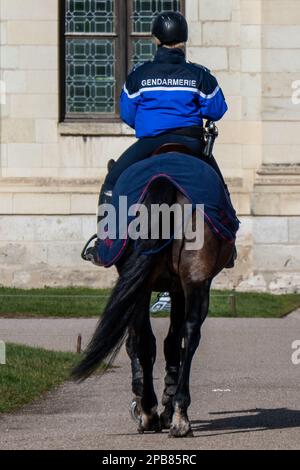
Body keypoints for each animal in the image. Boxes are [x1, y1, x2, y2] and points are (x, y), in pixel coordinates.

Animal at [73, 145, 234, 438]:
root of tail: (164, 179)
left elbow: (138, 343)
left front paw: (147, 407)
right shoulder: (177, 288)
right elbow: (170, 343)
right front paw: (164, 408)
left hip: (152, 286)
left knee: (149, 339)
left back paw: (153, 412)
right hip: (194, 282)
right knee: (187, 336)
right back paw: (179, 415)